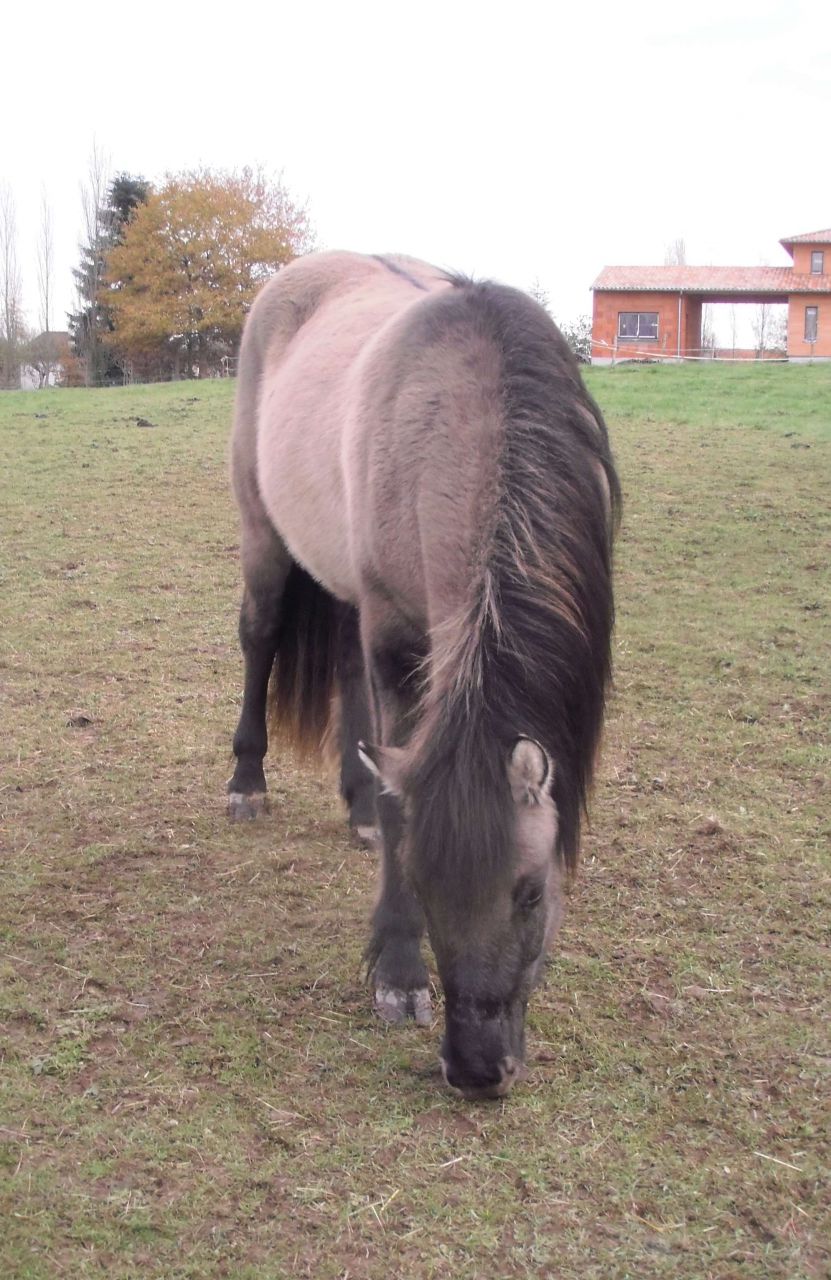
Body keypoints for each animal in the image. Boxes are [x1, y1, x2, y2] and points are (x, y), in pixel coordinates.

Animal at [227, 251, 620, 1100]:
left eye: (530, 890)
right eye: (425, 884)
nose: (474, 1069)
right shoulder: (398, 639)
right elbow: (399, 792)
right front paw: (399, 971)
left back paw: (353, 808)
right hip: (264, 537)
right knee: (260, 638)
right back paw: (246, 783)